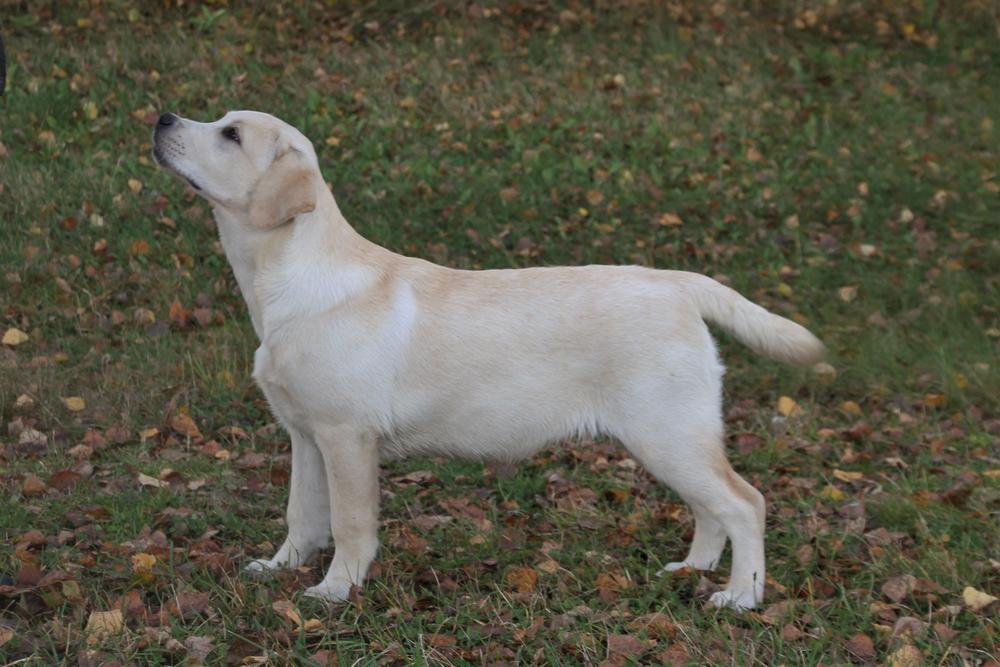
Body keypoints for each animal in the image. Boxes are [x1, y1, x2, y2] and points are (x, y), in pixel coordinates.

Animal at [152, 110, 824, 610]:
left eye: (231, 134)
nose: (162, 117)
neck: (287, 279)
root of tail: (678, 283)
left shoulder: (346, 437)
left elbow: (348, 523)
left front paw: (335, 589)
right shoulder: (305, 435)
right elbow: (301, 514)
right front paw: (279, 567)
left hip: (668, 432)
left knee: (745, 504)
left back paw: (740, 596)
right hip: (671, 438)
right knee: (711, 510)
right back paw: (691, 569)